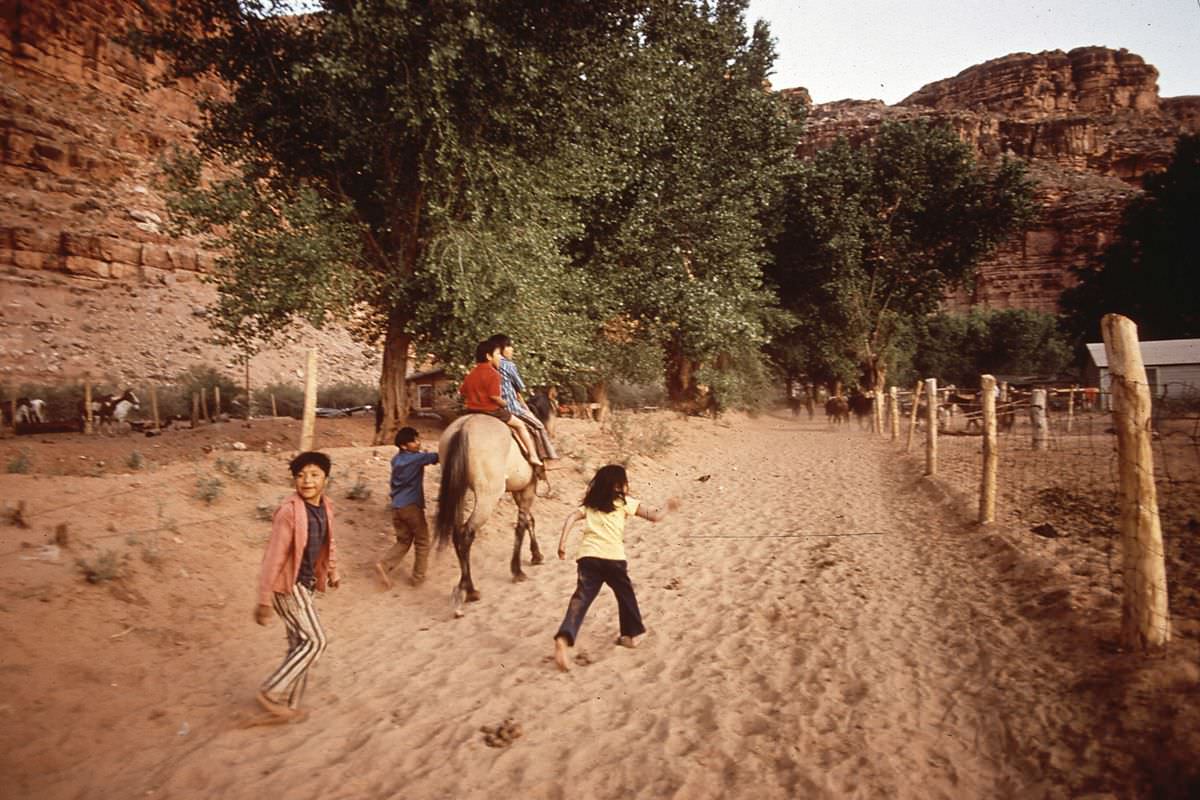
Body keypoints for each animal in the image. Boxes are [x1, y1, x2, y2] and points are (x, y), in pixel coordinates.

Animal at [434, 412, 542, 614]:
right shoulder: (528, 488)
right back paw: (470, 590)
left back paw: (464, 586)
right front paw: (517, 570)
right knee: (466, 534)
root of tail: (464, 426)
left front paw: (536, 555)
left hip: (458, 490)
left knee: (456, 532)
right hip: (488, 496)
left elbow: (529, 520)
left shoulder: (518, 491)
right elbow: (522, 525)